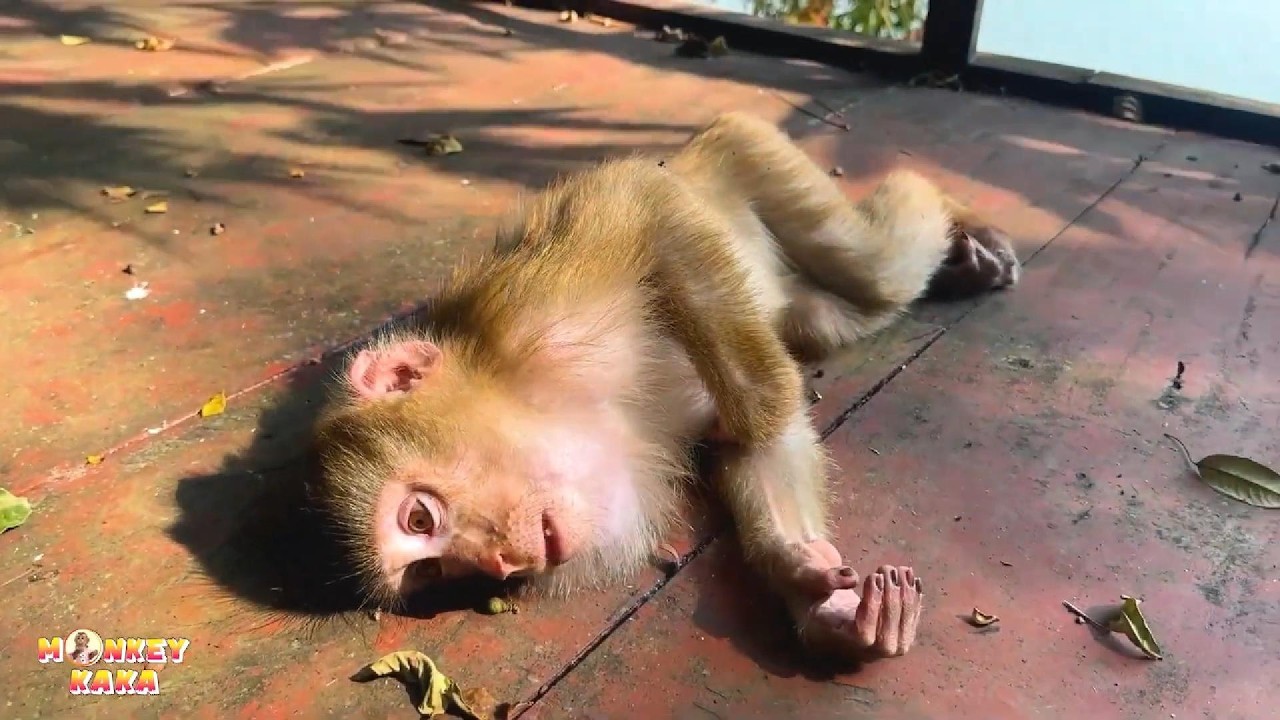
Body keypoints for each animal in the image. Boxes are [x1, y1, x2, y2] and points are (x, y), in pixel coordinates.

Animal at [308, 111, 1019, 662]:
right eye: (435, 570)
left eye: (419, 518)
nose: (501, 563)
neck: (557, 408)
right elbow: (749, 455)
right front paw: (819, 593)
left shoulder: (531, 317)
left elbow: (645, 202)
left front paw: (763, 409)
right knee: (841, 307)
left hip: (748, 152)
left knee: (875, 268)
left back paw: (954, 217)